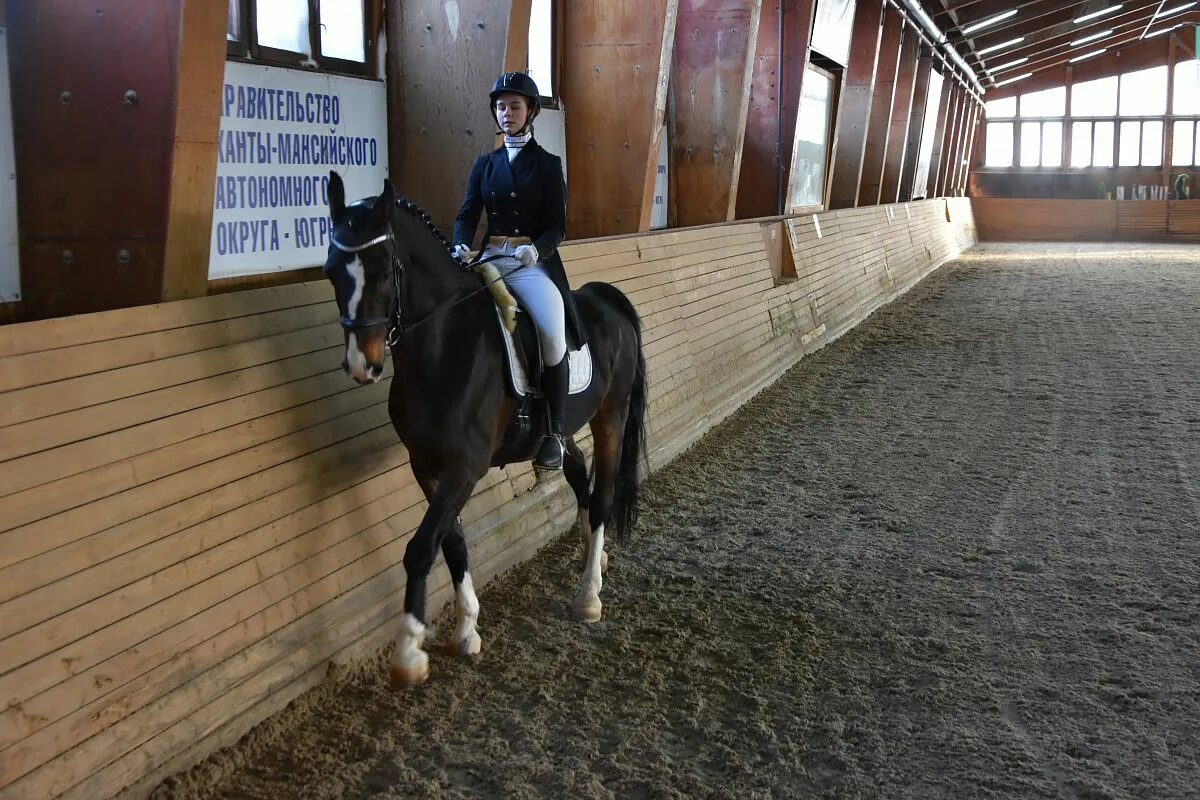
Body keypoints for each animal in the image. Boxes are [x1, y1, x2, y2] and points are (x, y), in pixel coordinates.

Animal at [324, 173, 648, 690]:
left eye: (381, 271)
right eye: (332, 271)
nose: (362, 365)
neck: (443, 346)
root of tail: (604, 297)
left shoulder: (466, 467)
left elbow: (420, 548)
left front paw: (409, 652)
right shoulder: (426, 465)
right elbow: (452, 543)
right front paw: (467, 630)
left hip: (611, 417)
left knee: (601, 496)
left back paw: (589, 595)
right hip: (561, 433)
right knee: (578, 473)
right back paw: (591, 558)